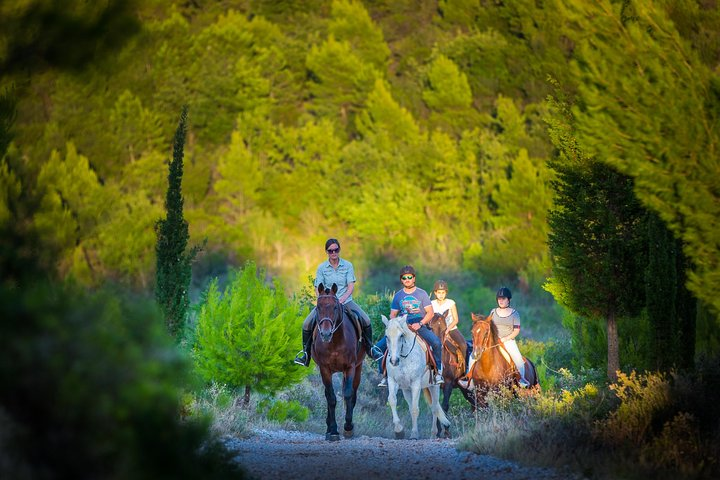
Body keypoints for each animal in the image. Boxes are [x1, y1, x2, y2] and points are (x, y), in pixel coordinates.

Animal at [310, 284, 366, 440]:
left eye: (335, 307)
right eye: (318, 307)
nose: (325, 334)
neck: (335, 341)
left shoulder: (350, 367)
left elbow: (348, 395)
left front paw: (348, 427)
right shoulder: (324, 369)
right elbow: (331, 398)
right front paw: (333, 430)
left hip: (358, 368)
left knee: (353, 394)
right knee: (328, 395)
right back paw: (328, 427)